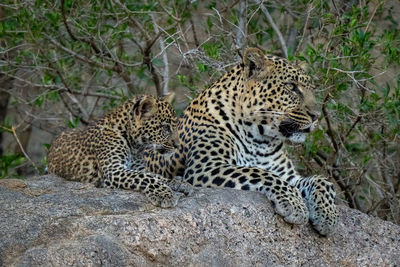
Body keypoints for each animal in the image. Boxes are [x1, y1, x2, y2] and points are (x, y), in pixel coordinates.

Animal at [145, 48, 338, 237]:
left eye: (312, 90)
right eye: (291, 86)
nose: (316, 116)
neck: (261, 139)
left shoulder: (288, 175)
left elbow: (322, 180)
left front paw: (327, 217)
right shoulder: (205, 167)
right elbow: (260, 173)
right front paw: (295, 204)